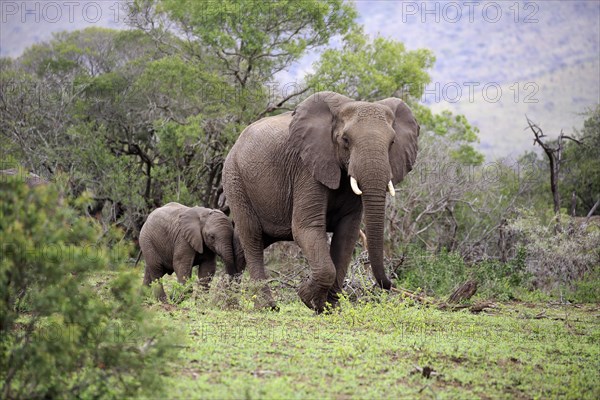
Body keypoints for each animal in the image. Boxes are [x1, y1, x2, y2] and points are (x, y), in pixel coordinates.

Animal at [223, 91, 420, 312]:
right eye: (345, 140)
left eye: (392, 142)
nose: (389, 284)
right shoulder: (306, 168)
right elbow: (306, 227)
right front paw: (307, 297)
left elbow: (347, 234)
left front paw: (330, 307)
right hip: (235, 179)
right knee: (252, 236)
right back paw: (267, 307)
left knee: (247, 242)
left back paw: (226, 301)